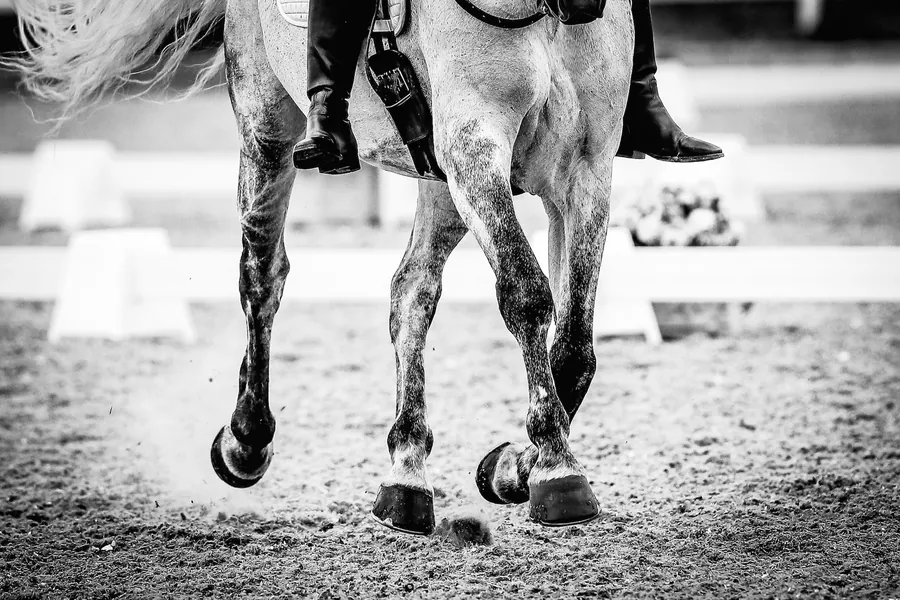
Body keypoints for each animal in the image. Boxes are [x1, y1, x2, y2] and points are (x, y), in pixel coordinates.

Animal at [11, 0, 634, 535]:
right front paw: (556, 471)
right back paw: (246, 441)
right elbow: (527, 296)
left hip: (436, 174)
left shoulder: (585, 171)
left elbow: (575, 347)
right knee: (263, 275)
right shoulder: (474, 146)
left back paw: (406, 478)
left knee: (411, 290)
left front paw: (512, 468)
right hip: (268, 124)